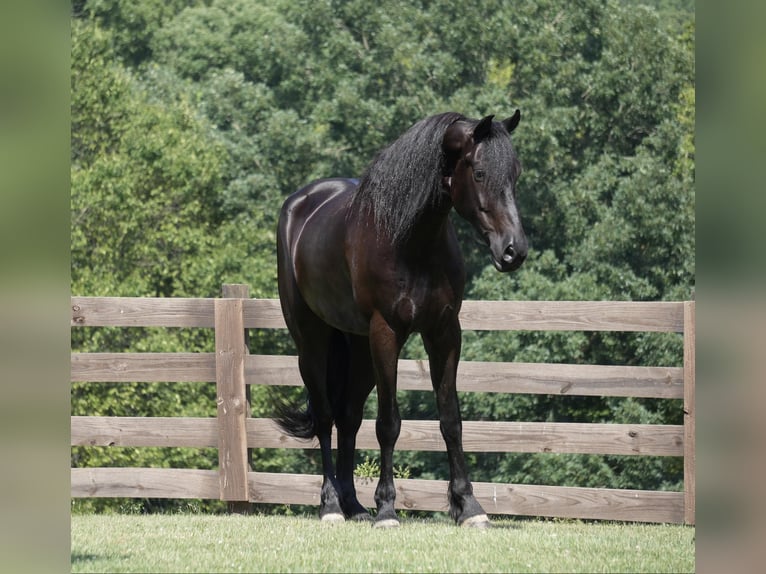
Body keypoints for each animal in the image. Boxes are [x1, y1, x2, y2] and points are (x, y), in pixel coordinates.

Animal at [276, 110, 528, 528]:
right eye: (478, 173)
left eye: (515, 174)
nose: (514, 251)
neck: (411, 240)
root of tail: (300, 205)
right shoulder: (387, 332)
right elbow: (388, 423)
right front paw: (387, 508)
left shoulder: (445, 331)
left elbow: (451, 419)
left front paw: (468, 506)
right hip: (312, 342)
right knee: (327, 416)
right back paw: (331, 506)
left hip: (359, 347)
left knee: (347, 417)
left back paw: (354, 505)